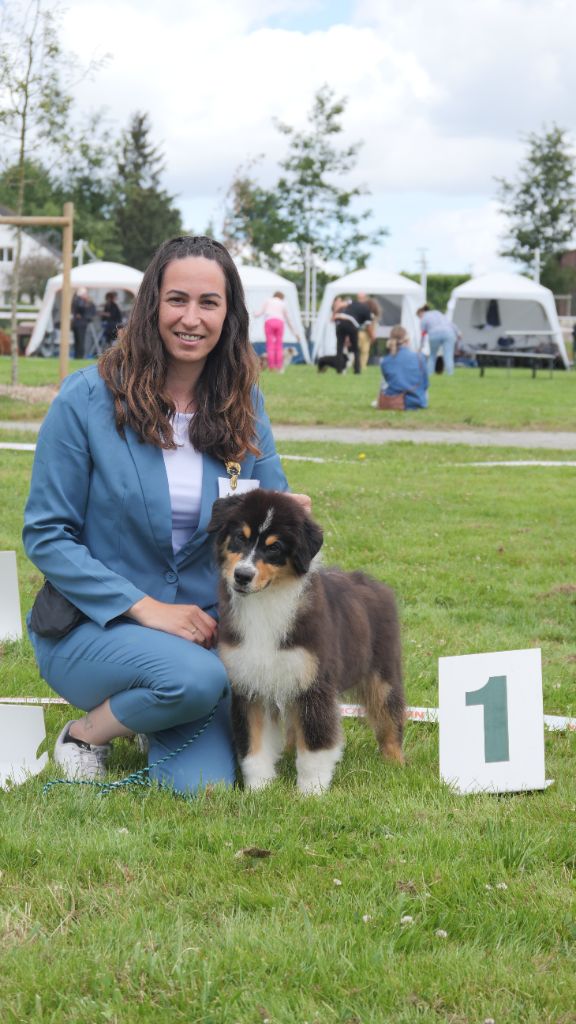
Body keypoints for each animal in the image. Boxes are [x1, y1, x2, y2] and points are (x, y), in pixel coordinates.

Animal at [206, 487, 403, 790]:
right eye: (240, 537)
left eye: (274, 547)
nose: (242, 576)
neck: (266, 601)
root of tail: (373, 582)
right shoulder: (249, 683)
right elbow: (253, 746)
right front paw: (258, 790)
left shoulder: (314, 683)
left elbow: (315, 745)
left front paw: (312, 791)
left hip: (383, 673)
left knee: (390, 717)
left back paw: (396, 764)